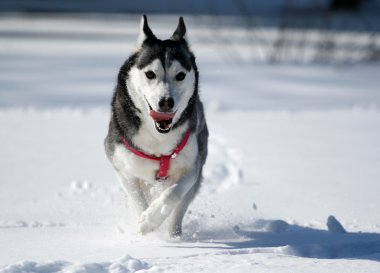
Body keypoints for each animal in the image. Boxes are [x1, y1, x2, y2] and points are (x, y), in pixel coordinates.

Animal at [104, 15, 208, 236]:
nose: (166, 102)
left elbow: (174, 193)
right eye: (150, 74)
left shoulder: (191, 165)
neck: (158, 137)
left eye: (180, 75)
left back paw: (173, 234)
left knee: (180, 206)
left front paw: (152, 219)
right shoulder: (121, 165)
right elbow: (137, 199)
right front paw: (145, 222)